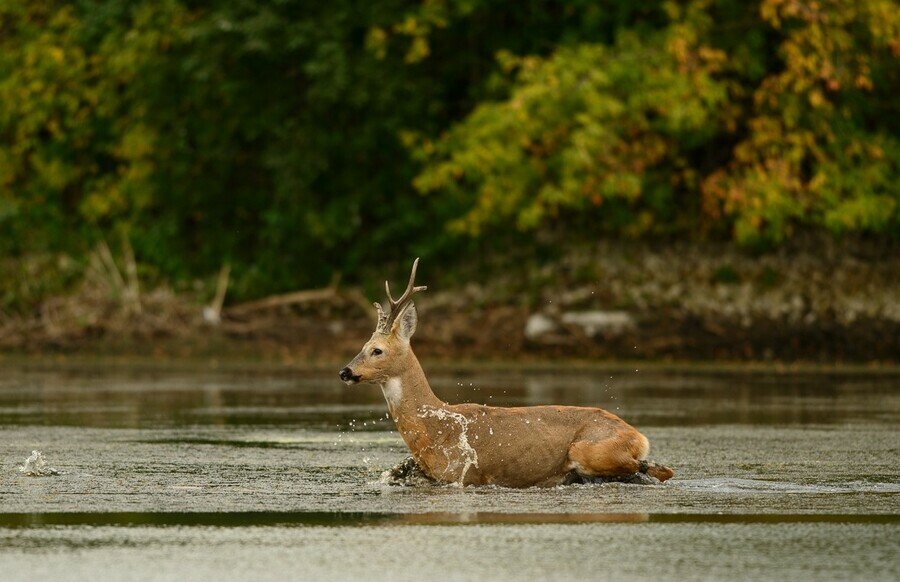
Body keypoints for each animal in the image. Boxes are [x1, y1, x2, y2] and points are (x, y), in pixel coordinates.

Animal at [342, 260, 672, 488]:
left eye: (377, 350)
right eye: (362, 346)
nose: (345, 371)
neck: (435, 428)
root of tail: (639, 435)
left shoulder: (462, 474)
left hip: (588, 447)